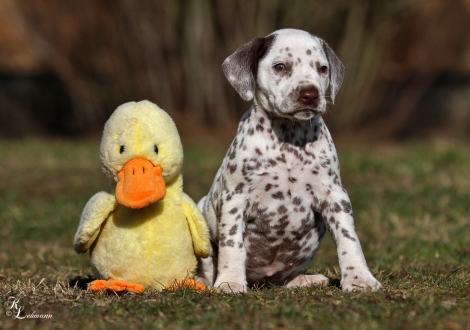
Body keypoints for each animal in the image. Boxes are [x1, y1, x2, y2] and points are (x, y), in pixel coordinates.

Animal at [196, 27, 384, 292]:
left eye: (322, 69)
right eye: (280, 66)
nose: (310, 94)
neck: (288, 139)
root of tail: (260, 280)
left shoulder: (335, 196)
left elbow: (349, 240)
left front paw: (359, 279)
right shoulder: (235, 198)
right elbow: (232, 245)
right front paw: (230, 282)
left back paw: (305, 279)